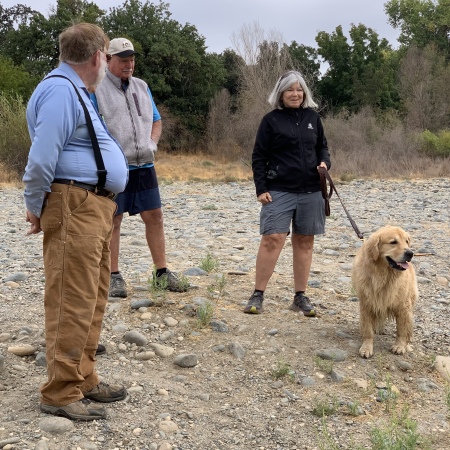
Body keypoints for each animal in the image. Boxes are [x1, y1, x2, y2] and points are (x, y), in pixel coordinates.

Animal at [352, 225, 418, 358]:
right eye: (393, 242)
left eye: (406, 241)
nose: (410, 253)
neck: (384, 276)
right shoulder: (367, 303)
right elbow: (368, 330)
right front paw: (367, 347)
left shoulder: (403, 306)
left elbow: (402, 329)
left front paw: (400, 346)